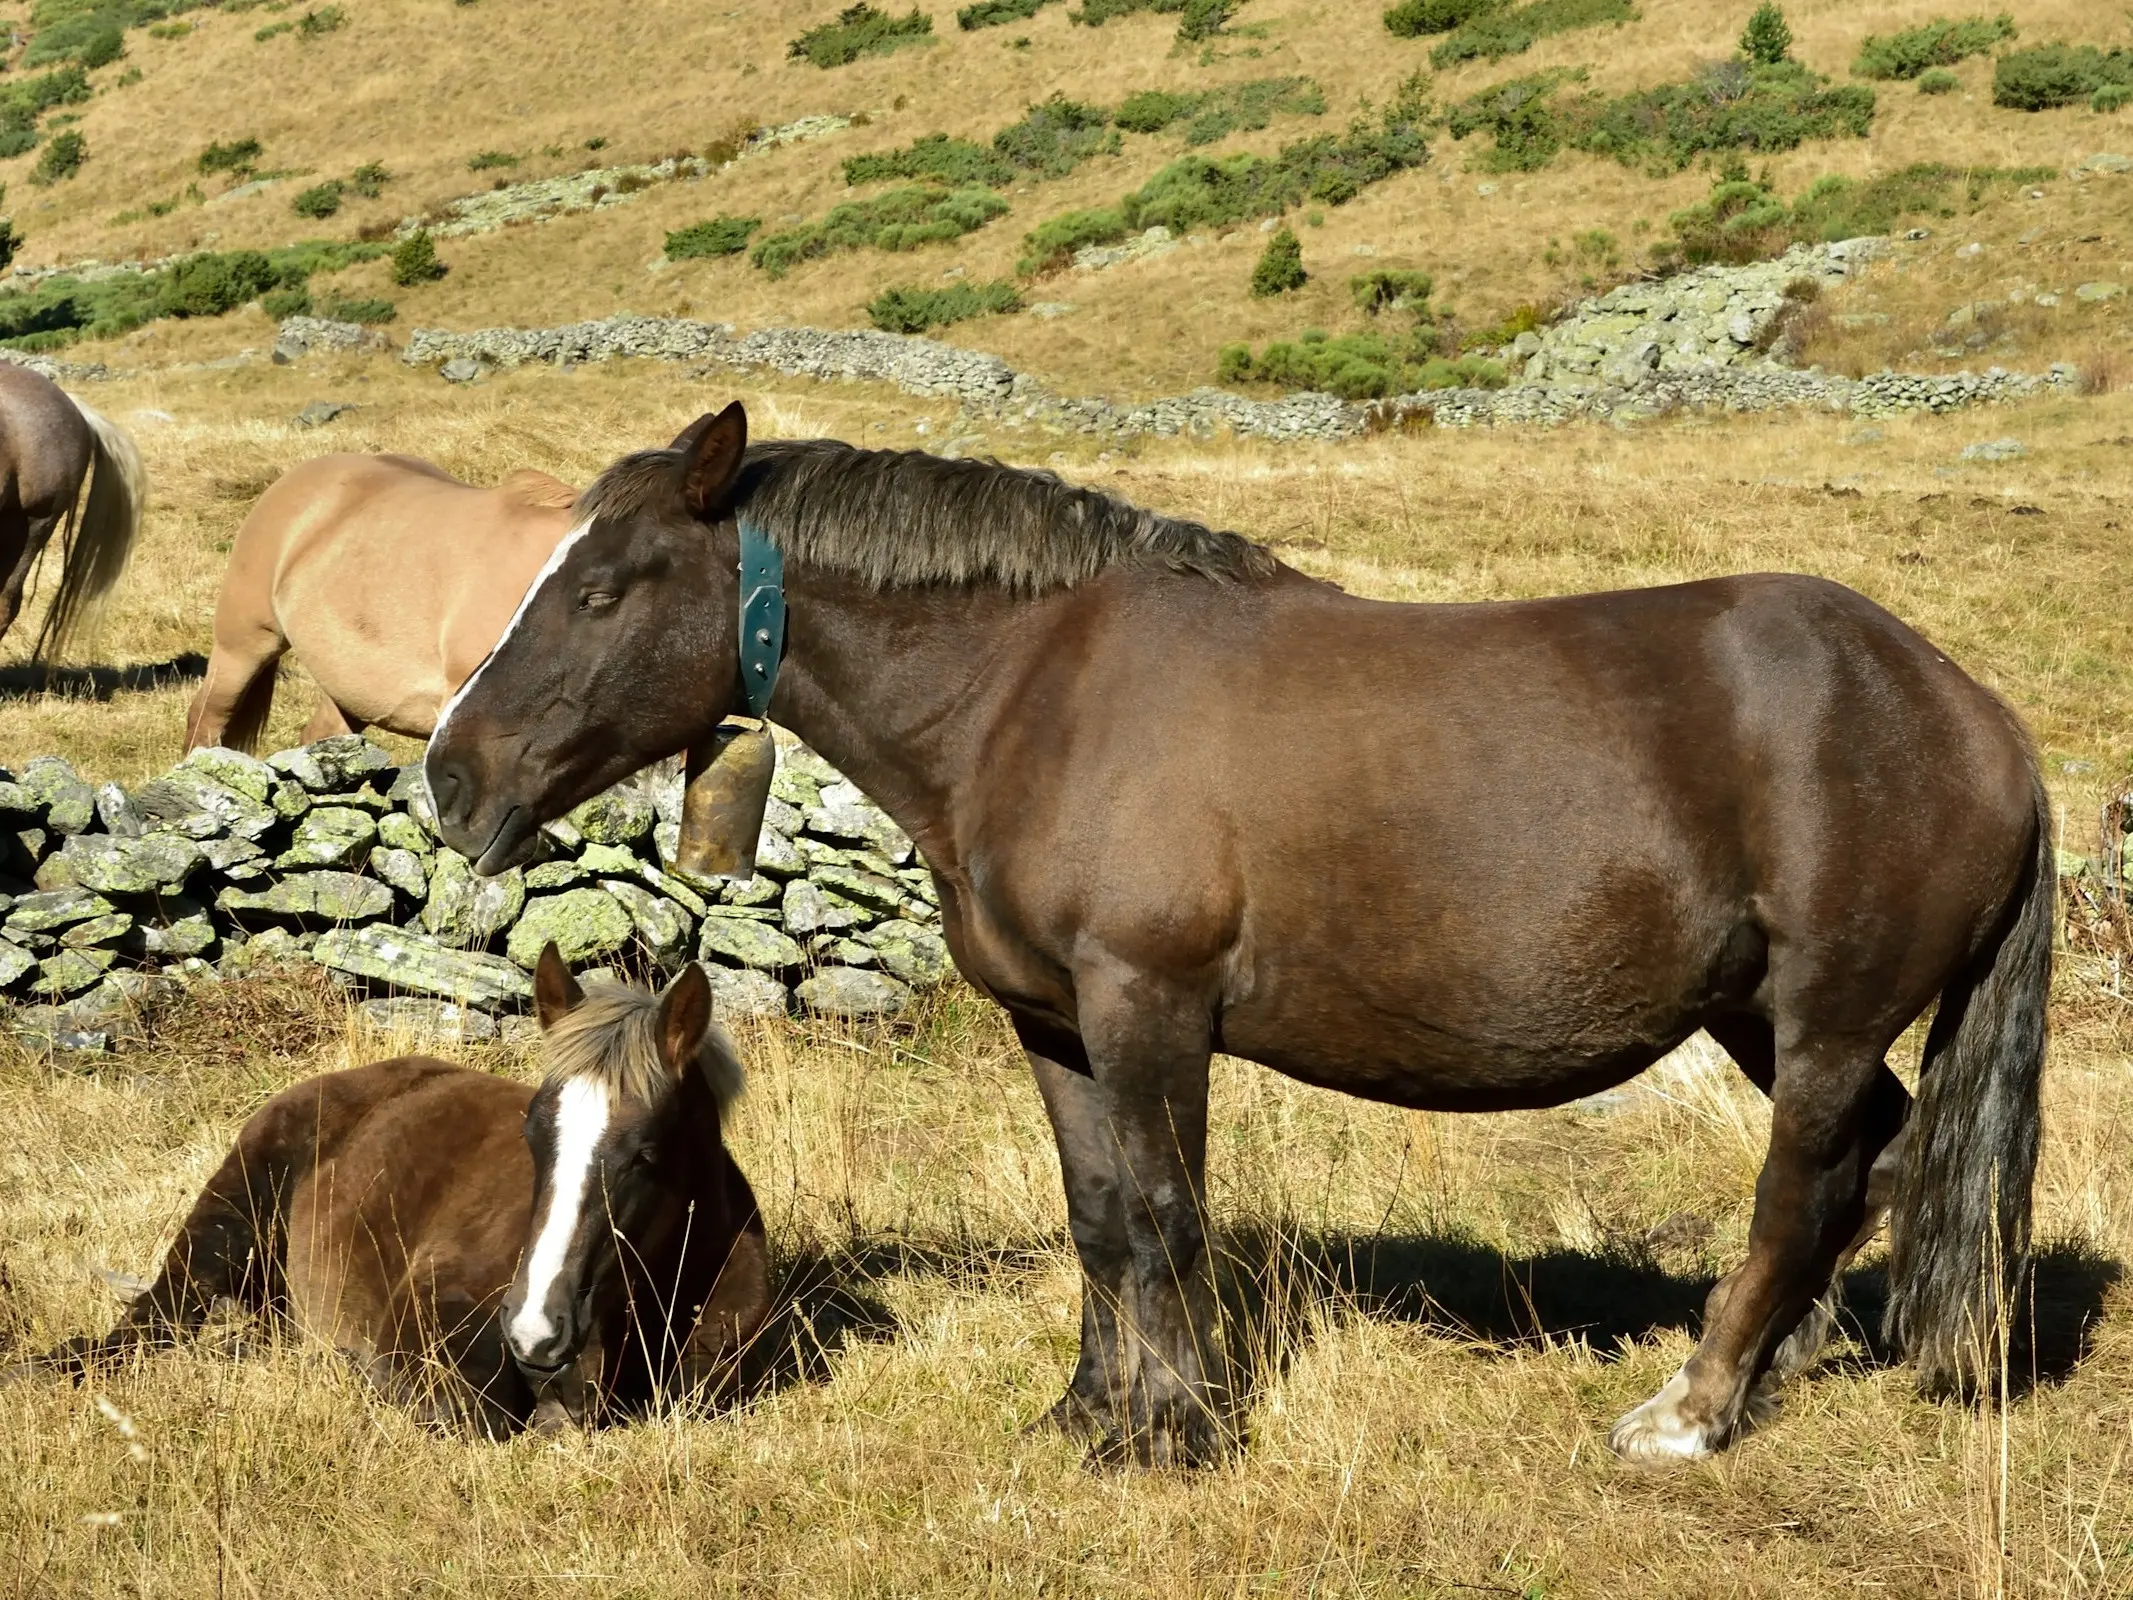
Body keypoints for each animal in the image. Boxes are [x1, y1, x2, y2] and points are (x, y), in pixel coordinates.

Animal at [14, 951, 776, 1442]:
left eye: (644, 1155)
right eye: (531, 1136)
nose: (536, 1330)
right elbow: (478, 1415)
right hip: (221, 1232)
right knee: (147, 1325)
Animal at [420, 407, 2047, 1476]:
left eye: (600, 589)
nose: (449, 775)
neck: (1032, 690)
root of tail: (1970, 712)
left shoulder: (1150, 1011)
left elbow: (1163, 1216)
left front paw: (1182, 1428)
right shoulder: (1060, 1024)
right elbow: (1096, 1218)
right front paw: (1091, 1414)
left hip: (1822, 1020)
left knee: (1802, 1181)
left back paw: (1696, 1405)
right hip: (1754, 1013)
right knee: (1875, 1159)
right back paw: (1791, 1358)